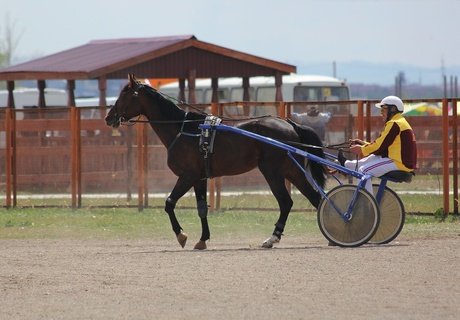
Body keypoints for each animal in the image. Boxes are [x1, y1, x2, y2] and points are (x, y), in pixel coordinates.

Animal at [104, 74, 328, 250]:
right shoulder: (199, 178)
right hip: (292, 171)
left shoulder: (188, 176)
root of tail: (289, 124)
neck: (184, 129)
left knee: (286, 202)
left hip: (273, 172)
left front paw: (181, 235)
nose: (108, 117)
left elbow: (169, 203)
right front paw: (202, 239)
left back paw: (273, 238)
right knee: (314, 198)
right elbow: (202, 208)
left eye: (124, 94)